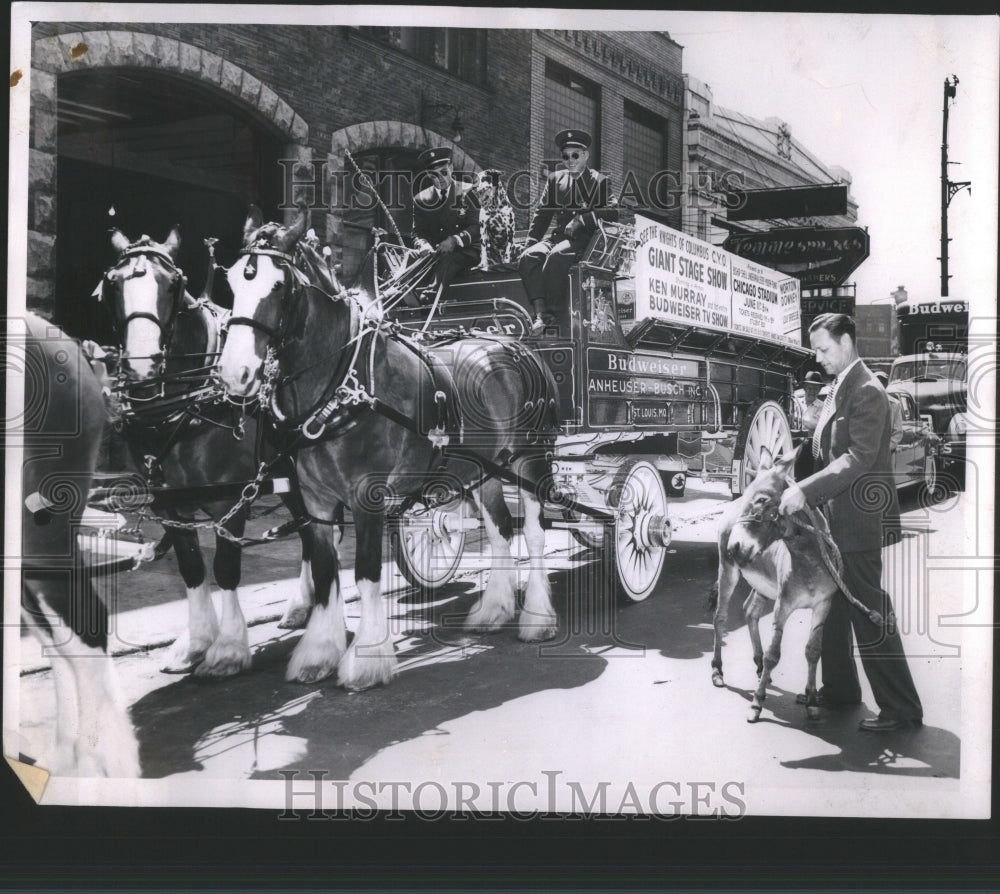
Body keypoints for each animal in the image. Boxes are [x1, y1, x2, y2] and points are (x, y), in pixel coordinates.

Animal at [218, 206, 560, 688]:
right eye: (231, 282)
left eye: (279, 286)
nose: (234, 373)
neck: (346, 384)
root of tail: (516, 343)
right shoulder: (316, 501)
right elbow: (325, 572)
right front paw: (318, 654)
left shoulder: (369, 497)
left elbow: (365, 575)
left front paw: (367, 659)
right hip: (485, 469)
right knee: (499, 530)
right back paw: (493, 610)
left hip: (530, 458)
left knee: (532, 532)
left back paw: (537, 619)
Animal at [708, 456, 840, 720]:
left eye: (761, 500)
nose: (733, 548)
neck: (808, 559)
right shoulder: (783, 606)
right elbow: (773, 655)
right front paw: (757, 703)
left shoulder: (823, 605)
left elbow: (813, 651)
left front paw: (812, 701)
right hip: (728, 571)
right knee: (720, 617)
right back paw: (718, 671)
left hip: (763, 585)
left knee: (750, 611)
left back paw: (759, 667)